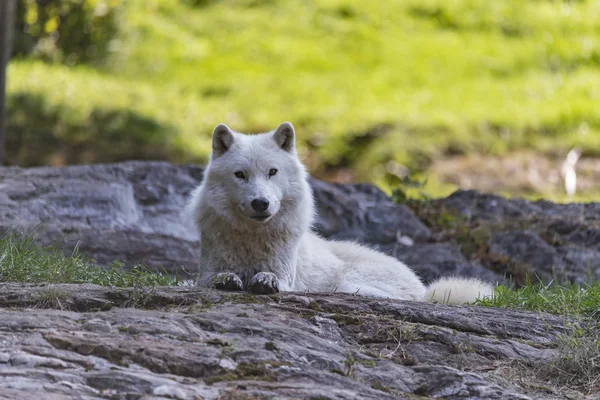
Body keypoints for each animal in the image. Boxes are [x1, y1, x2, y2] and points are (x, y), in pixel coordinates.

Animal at [185, 122, 494, 304]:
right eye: (240, 175)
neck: (251, 240)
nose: (261, 203)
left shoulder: (287, 275)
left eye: (272, 172)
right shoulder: (206, 271)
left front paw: (263, 281)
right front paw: (228, 280)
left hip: (347, 283)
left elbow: (274, 279)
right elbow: (212, 278)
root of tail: (426, 291)